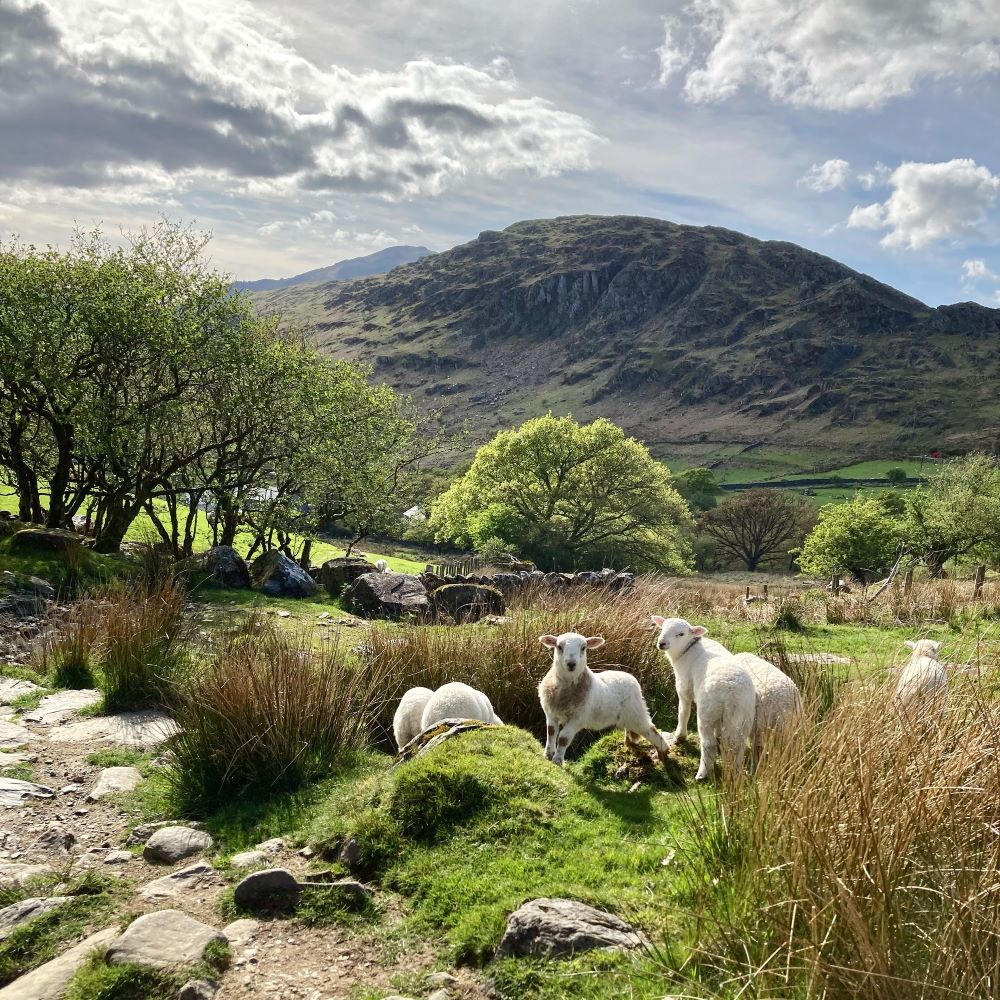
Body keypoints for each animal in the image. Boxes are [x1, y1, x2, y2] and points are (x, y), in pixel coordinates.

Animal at [538, 632, 669, 767]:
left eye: (584, 648)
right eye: (559, 646)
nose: (571, 664)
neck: (565, 688)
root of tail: (631, 678)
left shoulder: (578, 719)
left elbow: (563, 738)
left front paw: (557, 760)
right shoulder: (550, 713)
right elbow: (551, 732)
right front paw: (548, 754)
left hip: (636, 713)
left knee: (652, 731)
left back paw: (663, 754)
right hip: (628, 717)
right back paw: (629, 743)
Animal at [652, 616, 756, 780]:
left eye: (681, 634)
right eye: (662, 628)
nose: (662, 643)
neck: (687, 649)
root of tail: (732, 691)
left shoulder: (684, 687)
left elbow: (683, 712)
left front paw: (679, 736)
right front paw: (719, 735)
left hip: (708, 710)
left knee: (708, 744)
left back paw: (702, 773)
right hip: (742, 717)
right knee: (737, 745)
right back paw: (736, 772)